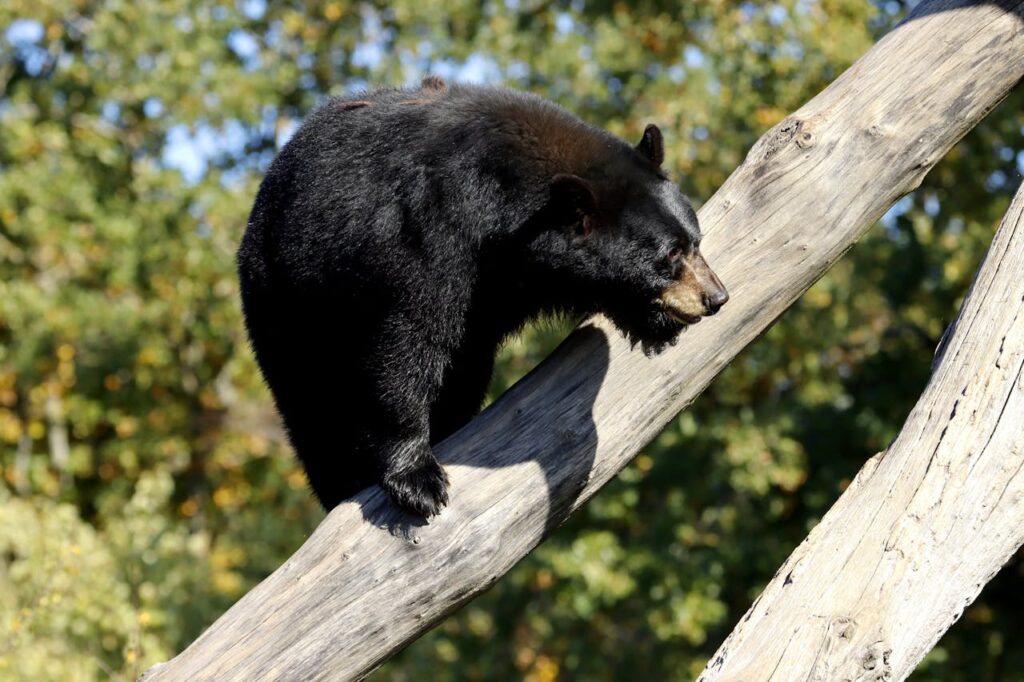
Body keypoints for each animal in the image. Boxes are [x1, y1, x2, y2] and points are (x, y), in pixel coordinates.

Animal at [237, 76, 728, 518]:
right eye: (670, 255)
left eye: (695, 241)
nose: (717, 297)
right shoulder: (427, 236)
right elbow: (405, 343)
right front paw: (416, 478)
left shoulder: (507, 278)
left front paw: (656, 324)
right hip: (290, 298)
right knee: (313, 407)